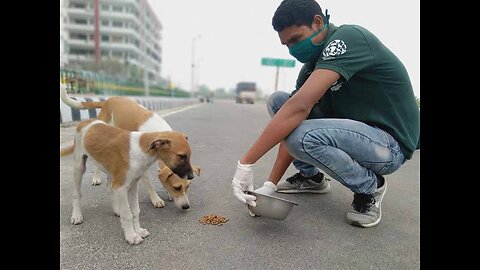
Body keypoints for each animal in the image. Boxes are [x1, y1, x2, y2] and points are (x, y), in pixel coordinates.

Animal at [59, 118, 193, 245]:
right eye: (181, 156)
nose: (191, 176)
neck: (140, 150)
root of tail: (86, 121)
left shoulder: (133, 185)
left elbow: (135, 211)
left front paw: (138, 230)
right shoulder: (121, 187)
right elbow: (127, 214)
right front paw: (131, 236)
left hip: (111, 171)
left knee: (109, 189)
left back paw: (116, 209)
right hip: (79, 167)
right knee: (77, 194)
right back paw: (76, 215)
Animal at [61, 84, 194, 209]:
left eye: (188, 186)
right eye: (177, 187)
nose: (192, 176)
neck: (160, 133)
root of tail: (108, 100)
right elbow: (149, 184)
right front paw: (156, 199)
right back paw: (96, 177)